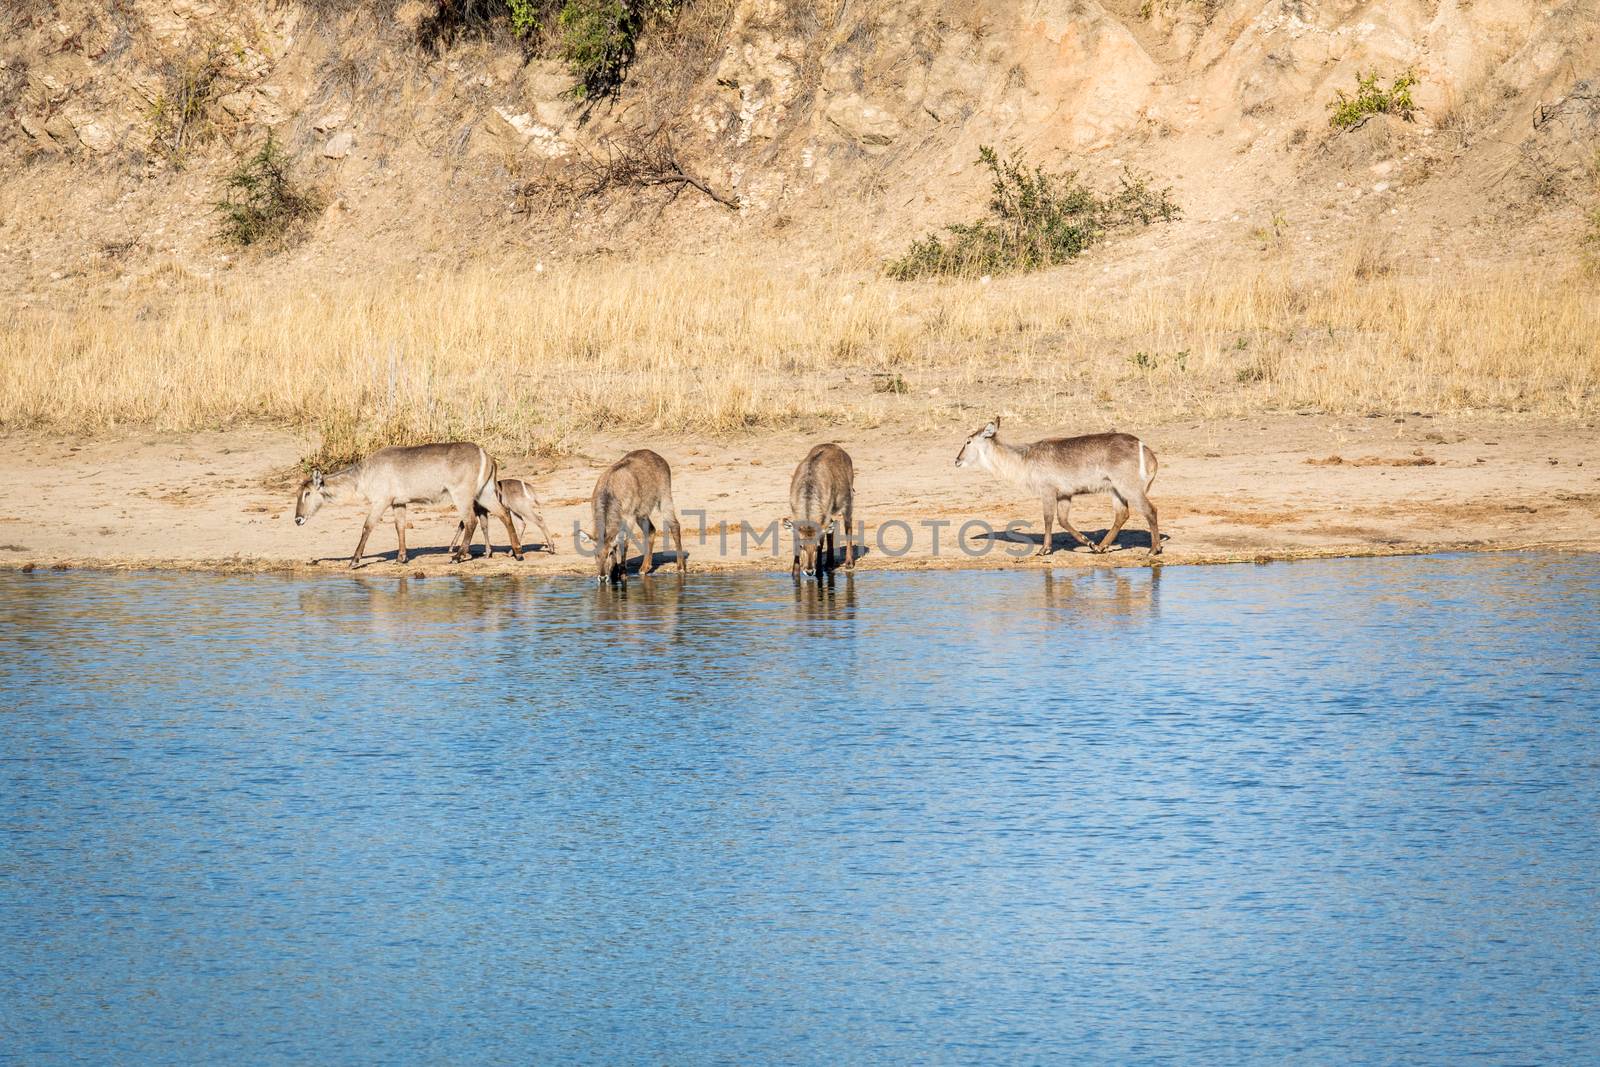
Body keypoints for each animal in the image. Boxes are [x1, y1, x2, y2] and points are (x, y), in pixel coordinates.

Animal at [294, 441, 524, 566]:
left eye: (307, 493)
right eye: (297, 492)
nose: (297, 519)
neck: (363, 475)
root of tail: (487, 455)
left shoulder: (381, 501)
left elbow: (367, 526)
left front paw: (354, 560)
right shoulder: (398, 503)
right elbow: (400, 527)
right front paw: (401, 558)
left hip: (462, 495)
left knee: (471, 521)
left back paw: (457, 556)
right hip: (484, 493)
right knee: (504, 514)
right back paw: (518, 553)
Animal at [572, 451, 684, 585]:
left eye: (610, 553)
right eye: (595, 553)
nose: (602, 577)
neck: (610, 491)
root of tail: (656, 455)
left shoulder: (629, 518)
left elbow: (624, 544)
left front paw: (622, 574)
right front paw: (614, 574)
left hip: (664, 499)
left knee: (675, 525)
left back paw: (680, 567)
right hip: (641, 514)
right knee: (651, 530)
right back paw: (644, 568)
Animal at [780, 441, 857, 575]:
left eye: (816, 547)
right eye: (801, 546)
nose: (809, 571)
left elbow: (823, 539)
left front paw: (819, 571)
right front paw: (795, 572)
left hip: (847, 504)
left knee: (848, 527)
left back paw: (848, 563)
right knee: (832, 528)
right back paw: (830, 563)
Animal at [947, 415, 1164, 556]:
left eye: (968, 441)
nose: (956, 461)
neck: (1024, 461)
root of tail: (1145, 449)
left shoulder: (1047, 490)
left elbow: (1048, 518)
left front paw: (1044, 550)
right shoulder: (1065, 494)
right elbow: (1063, 520)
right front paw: (1089, 543)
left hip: (1129, 487)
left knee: (1150, 510)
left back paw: (1153, 550)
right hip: (1115, 490)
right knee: (1122, 514)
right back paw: (1101, 547)